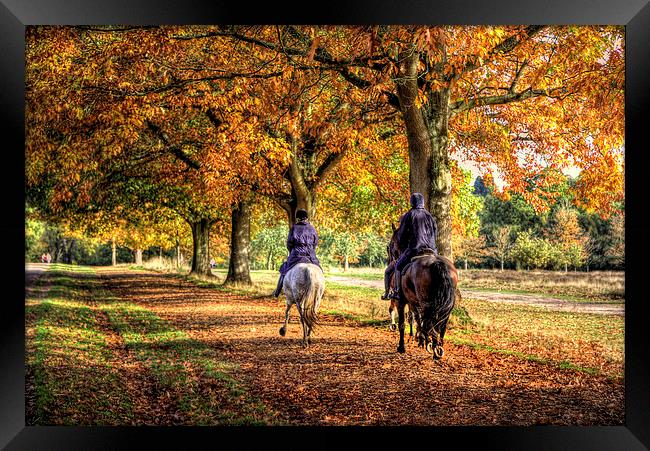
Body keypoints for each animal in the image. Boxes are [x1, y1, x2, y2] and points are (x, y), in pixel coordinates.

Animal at [388, 230, 458, 360]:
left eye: (391, 245)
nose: (391, 261)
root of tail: (437, 263)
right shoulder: (414, 303)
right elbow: (417, 318)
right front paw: (420, 339)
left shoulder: (401, 302)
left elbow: (402, 324)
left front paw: (401, 347)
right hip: (446, 306)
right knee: (441, 326)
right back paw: (438, 347)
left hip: (426, 304)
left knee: (431, 325)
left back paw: (433, 348)